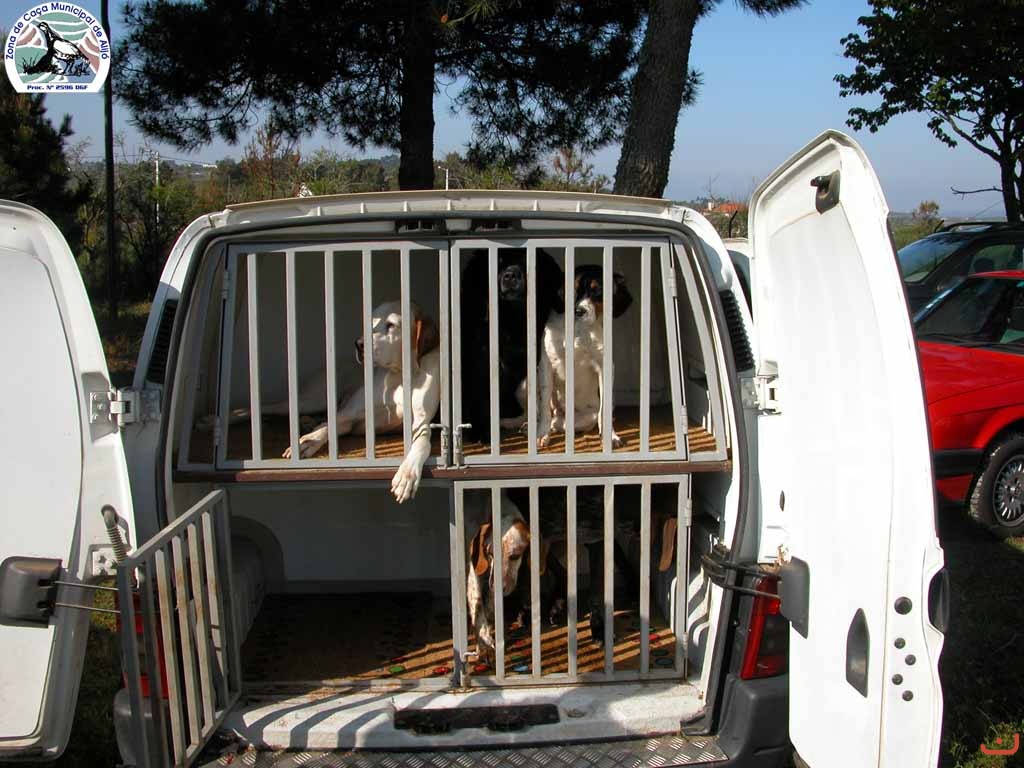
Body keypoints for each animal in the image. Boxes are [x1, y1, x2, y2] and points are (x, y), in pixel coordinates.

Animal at [459, 248, 564, 445]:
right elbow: (481, 396)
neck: (512, 316)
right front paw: (482, 432)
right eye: (498, 262)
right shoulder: (480, 360)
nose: (510, 275)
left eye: (525, 260)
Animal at [466, 492, 531, 663]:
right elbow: (477, 604)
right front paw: (483, 641)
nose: (498, 588)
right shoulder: (476, 573)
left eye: (515, 556)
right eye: (490, 554)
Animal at [538, 265, 633, 448]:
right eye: (572, 289)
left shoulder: (605, 366)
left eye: (598, 291)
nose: (578, 311)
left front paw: (611, 437)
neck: (578, 329)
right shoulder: (547, 362)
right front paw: (542, 434)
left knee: (564, 423)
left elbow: (605, 409)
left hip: (587, 416)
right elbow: (544, 404)